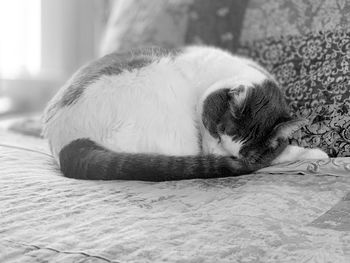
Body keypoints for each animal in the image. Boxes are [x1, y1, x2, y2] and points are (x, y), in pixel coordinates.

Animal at [41, 46, 328, 182]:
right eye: (218, 133)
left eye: (239, 151)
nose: (218, 155)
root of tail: (66, 142)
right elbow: (277, 156)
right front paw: (314, 153)